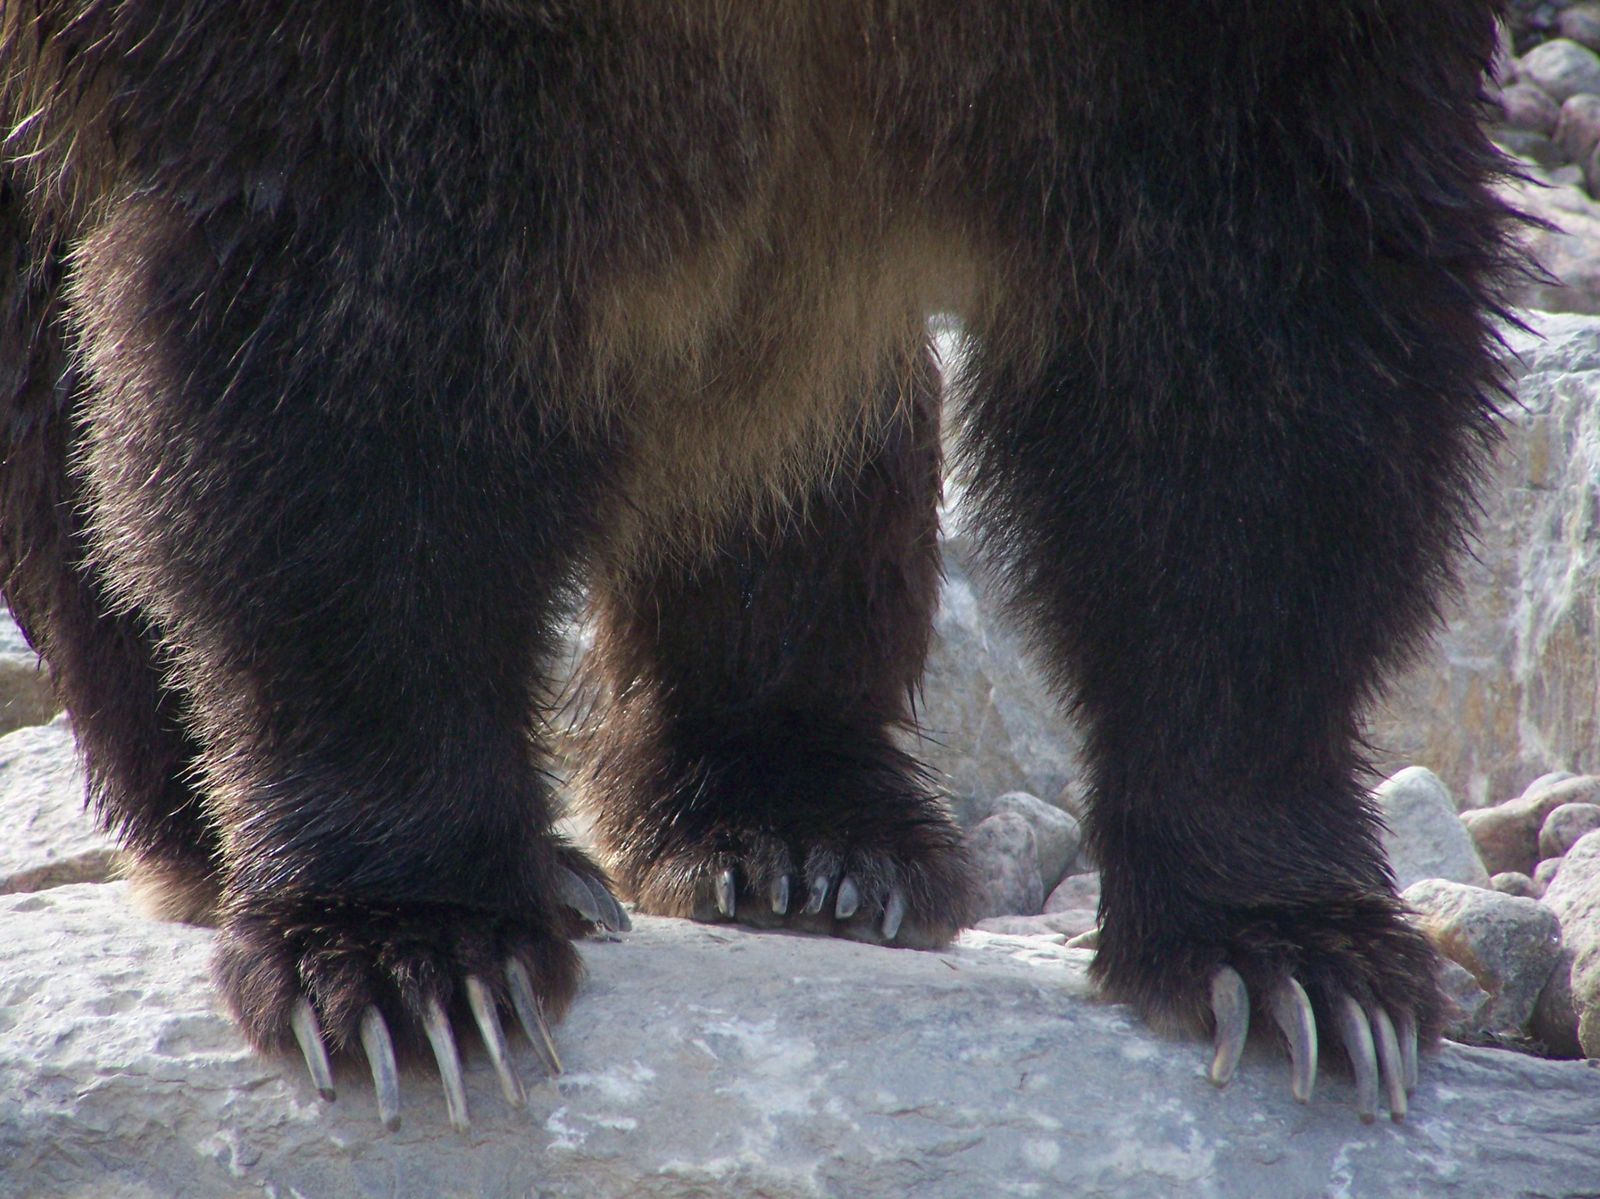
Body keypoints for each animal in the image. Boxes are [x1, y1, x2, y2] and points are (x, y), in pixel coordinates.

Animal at [0, 0, 1523, 1126]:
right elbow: (350, 320)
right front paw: (411, 952)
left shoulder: (1231, 59)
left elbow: (1265, 328)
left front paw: (1297, 956)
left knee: (802, 394)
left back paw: (804, 830)